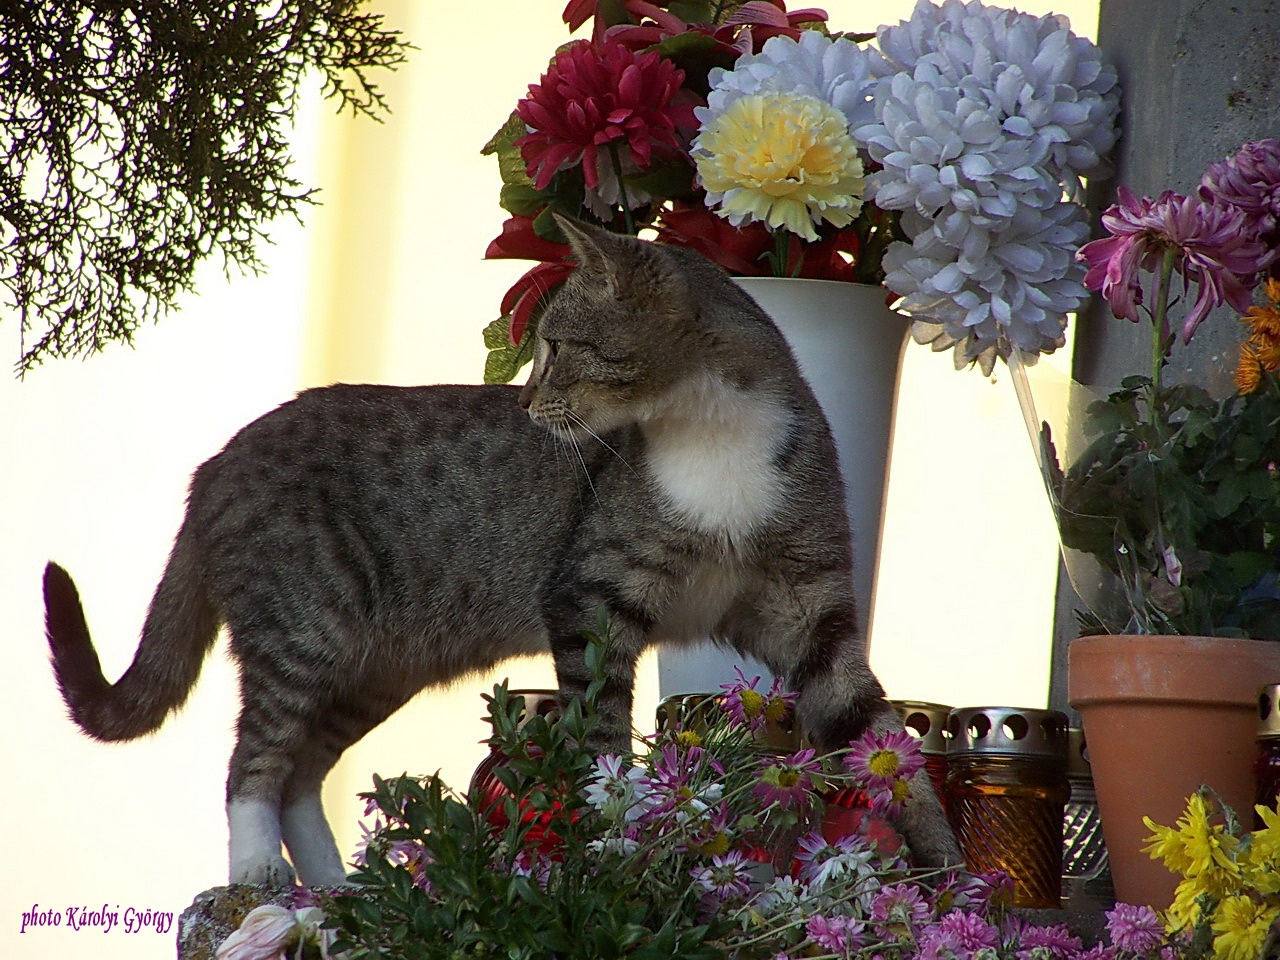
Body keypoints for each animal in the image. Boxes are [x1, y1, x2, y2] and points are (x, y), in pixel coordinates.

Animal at [45, 217, 957, 885]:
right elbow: (603, 736)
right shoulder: (591, 598)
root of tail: (211, 467)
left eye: (556, 346)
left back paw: (337, 890)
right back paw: (257, 879)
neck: (711, 434)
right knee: (253, 760)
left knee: (304, 772)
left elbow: (884, 740)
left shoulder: (809, 605)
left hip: (376, 663)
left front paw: (949, 868)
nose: (522, 403)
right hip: (305, 626)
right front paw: (617, 839)